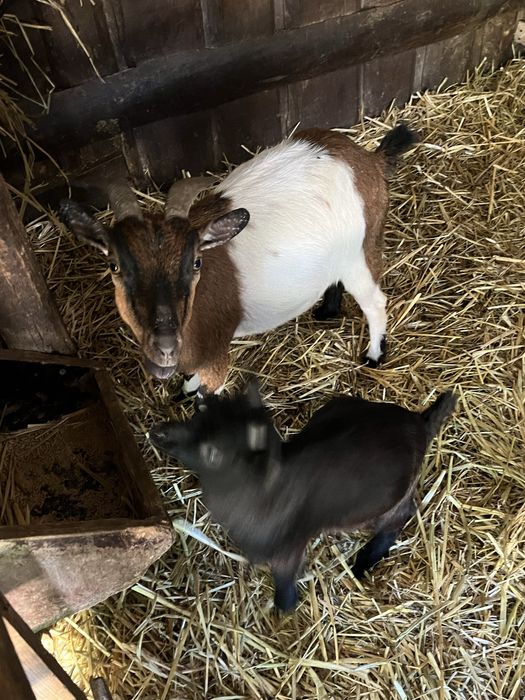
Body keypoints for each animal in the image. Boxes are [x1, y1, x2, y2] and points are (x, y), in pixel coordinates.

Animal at [59, 126, 417, 397]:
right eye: (114, 266)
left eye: (196, 263)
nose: (164, 346)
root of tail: (369, 160)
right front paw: (184, 389)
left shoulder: (217, 357)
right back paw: (327, 312)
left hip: (360, 253)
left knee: (375, 302)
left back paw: (374, 355)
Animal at [149, 381, 456, 612]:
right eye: (196, 414)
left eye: (212, 453)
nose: (157, 433)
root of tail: (419, 423)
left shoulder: (289, 549)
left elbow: (284, 584)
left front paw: (283, 611)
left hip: (391, 500)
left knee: (401, 515)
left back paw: (364, 562)